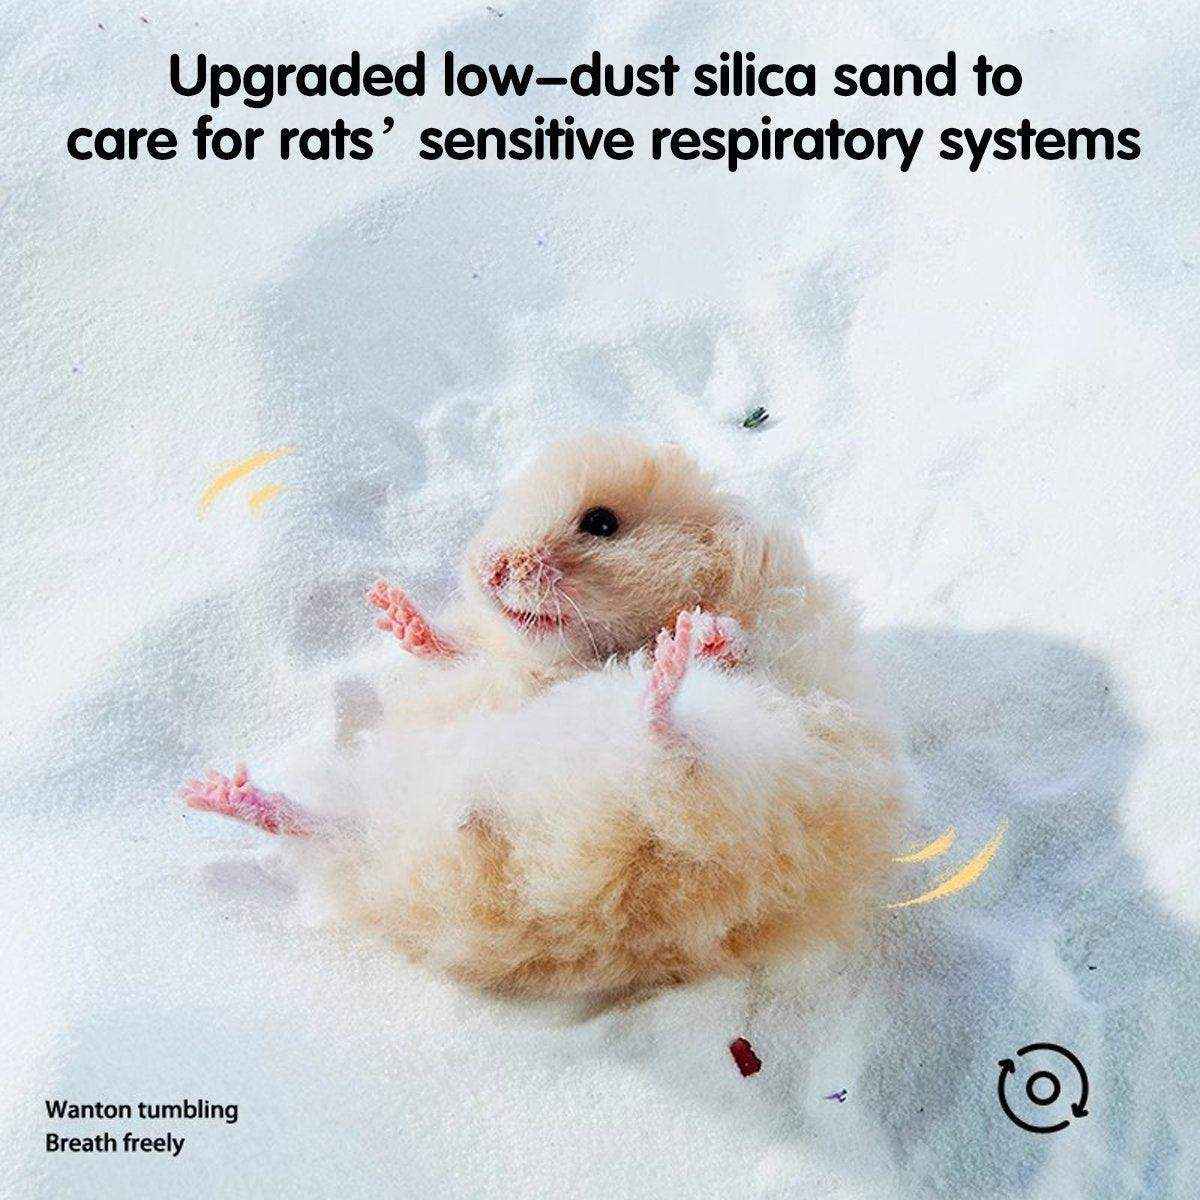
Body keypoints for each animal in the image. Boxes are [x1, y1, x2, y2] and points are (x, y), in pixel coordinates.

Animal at [182, 434, 905, 998]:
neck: (589, 655)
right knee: (328, 829)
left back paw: (670, 668)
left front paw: (702, 632)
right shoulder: (502, 670)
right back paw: (217, 792)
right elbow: (462, 651)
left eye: (602, 522)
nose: (490, 566)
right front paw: (393, 609)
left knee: (673, 756)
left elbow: (741, 645)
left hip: (738, 800)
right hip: (394, 812)